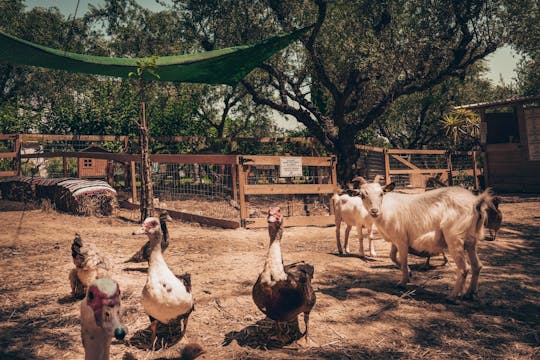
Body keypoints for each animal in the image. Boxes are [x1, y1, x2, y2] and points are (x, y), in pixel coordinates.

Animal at [352, 176, 496, 300]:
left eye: (381, 193)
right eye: (362, 195)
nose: (374, 211)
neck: (386, 209)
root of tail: (476, 203)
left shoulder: (402, 240)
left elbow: (403, 261)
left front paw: (403, 282)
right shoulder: (395, 240)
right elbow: (392, 256)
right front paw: (410, 274)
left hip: (454, 239)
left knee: (464, 269)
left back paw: (452, 296)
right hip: (471, 241)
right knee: (477, 266)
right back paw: (469, 293)